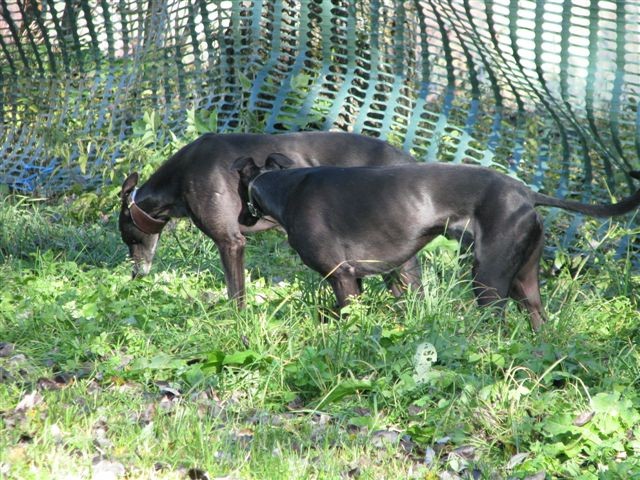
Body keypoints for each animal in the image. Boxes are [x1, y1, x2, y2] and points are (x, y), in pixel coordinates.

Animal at [117, 131, 416, 306]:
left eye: (128, 239)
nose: (135, 276)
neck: (180, 175)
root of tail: (407, 158)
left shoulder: (231, 242)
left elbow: (235, 293)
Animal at [231, 154, 640, 330]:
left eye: (238, 189)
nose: (237, 219)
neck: (282, 185)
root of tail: (527, 193)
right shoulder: (378, 275)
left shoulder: (342, 276)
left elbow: (346, 316)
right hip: (524, 283)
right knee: (538, 322)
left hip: (487, 281)